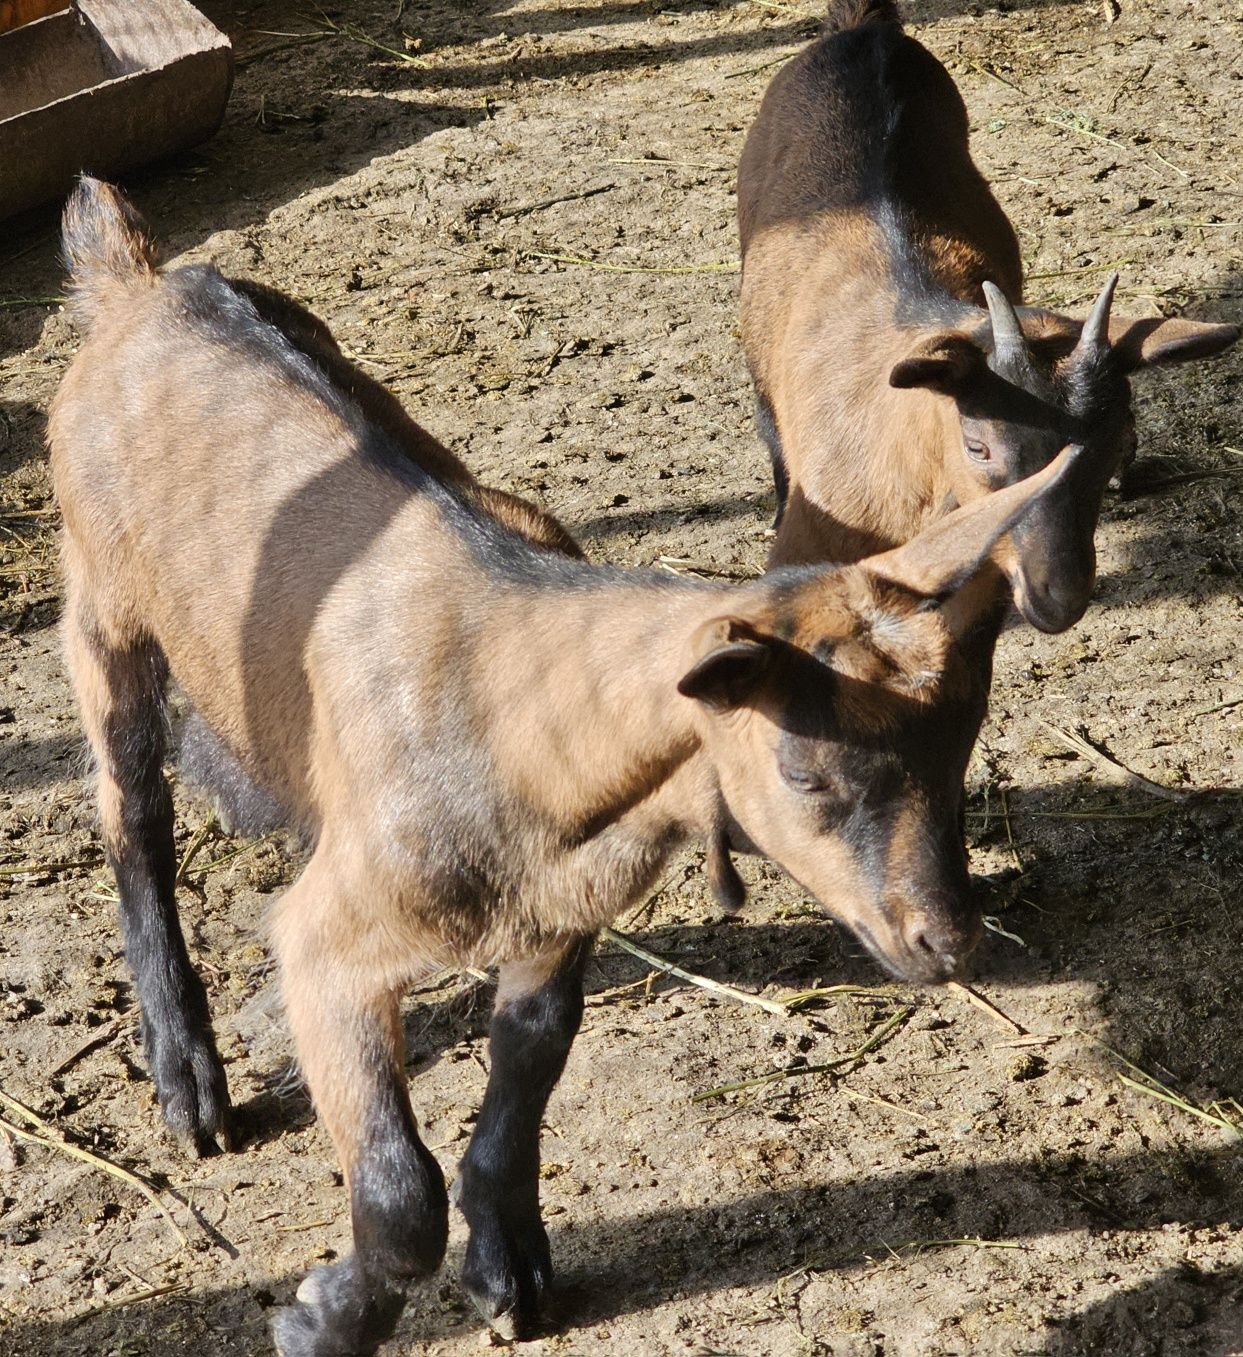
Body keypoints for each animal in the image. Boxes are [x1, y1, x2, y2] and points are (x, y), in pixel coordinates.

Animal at [53, 180, 1074, 1357]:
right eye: (805, 772)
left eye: (960, 749)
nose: (945, 940)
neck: (523, 718)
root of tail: (135, 280)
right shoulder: (328, 944)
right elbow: (398, 1190)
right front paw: (322, 1319)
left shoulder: (558, 919)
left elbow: (528, 1071)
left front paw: (511, 1270)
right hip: (101, 606)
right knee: (132, 813)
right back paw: (189, 1079)